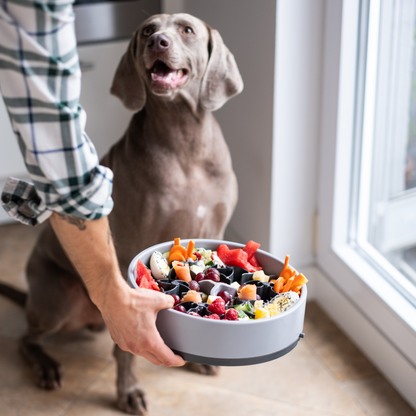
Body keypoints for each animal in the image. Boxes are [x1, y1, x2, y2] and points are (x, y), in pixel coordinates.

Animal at [0, 13, 242, 416]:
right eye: (147, 30)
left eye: (187, 30)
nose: (158, 42)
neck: (185, 143)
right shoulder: (132, 249)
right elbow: (127, 345)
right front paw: (128, 390)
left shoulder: (216, 227)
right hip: (60, 301)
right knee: (24, 338)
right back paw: (46, 366)